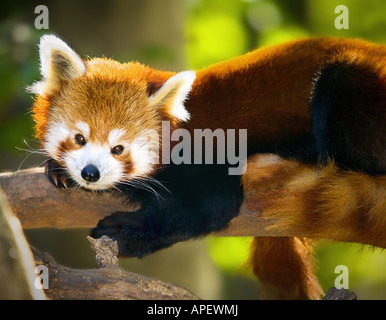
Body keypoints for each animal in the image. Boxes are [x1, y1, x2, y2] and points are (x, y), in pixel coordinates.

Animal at [30, 35, 386, 300]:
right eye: (79, 138)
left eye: (119, 149)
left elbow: (205, 210)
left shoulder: (210, 160)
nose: (90, 173)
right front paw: (59, 170)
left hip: (352, 86)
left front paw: (125, 233)